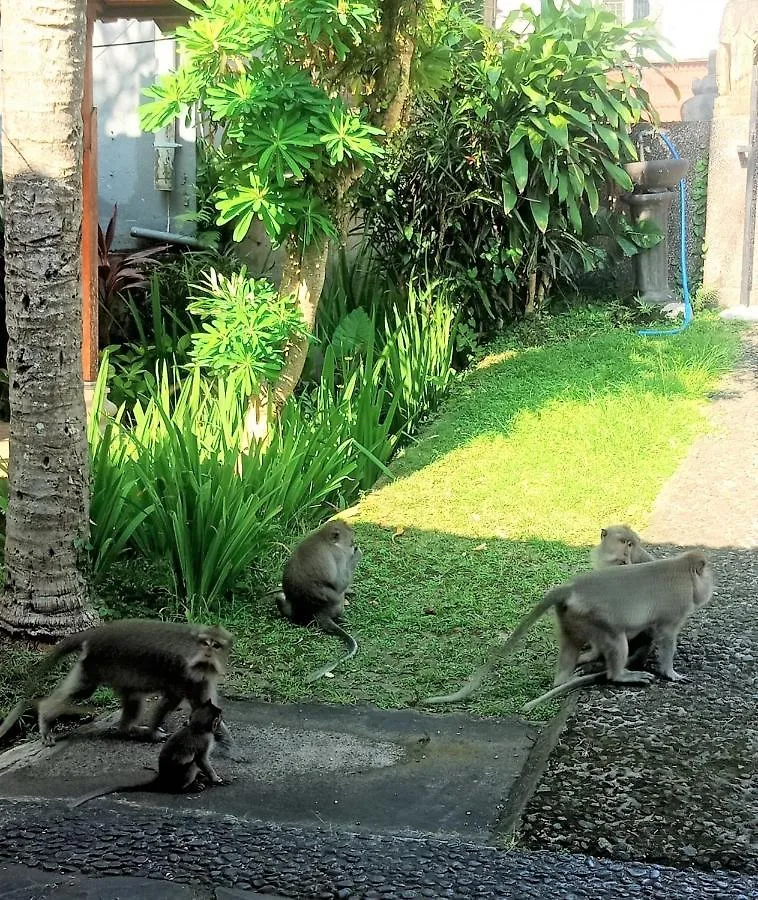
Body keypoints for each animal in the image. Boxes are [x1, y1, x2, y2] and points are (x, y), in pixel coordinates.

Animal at [0, 620, 236, 752]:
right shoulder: (181, 671)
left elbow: (202, 704)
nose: (207, 652)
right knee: (85, 691)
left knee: (123, 695)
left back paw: (127, 729)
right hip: (102, 660)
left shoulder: (200, 678)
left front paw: (224, 736)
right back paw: (46, 716)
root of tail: (96, 632)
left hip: (97, 663)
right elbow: (171, 700)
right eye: (205, 643)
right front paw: (153, 733)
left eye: (216, 645)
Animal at [69, 700, 226, 804]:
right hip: (179, 775)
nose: (222, 713)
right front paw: (216, 779)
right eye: (218, 717)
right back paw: (187, 787)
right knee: (191, 764)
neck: (196, 728)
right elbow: (201, 760)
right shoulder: (203, 741)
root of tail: (162, 778)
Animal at [276, 520, 366, 684]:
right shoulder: (339, 555)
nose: (354, 544)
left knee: (279, 597)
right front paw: (357, 554)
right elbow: (339, 583)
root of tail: (317, 612)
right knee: (339, 594)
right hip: (337, 605)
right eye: (351, 541)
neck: (323, 537)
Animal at [424, 548, 716, 712]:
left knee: (570, 645)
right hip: (597, 618)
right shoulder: (675, 610)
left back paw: (564, 678)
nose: (712, 586)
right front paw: (671, 673)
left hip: (571, 617)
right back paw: (621, 675)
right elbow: (666, 639)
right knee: (616, 641)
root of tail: (571, 588)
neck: (681, 568)